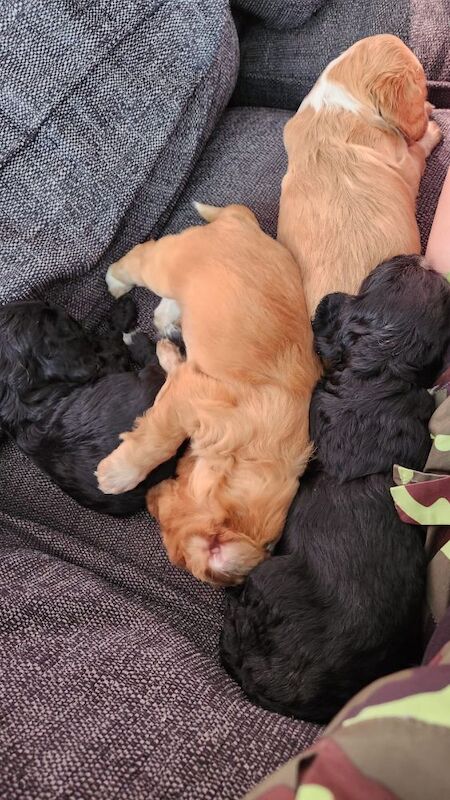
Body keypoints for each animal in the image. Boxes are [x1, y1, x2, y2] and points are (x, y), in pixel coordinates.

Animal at [0, 296, 179, 516]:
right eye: (55, 322)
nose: (63, 311)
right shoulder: (106, 361)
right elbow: (110, 340)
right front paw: (123, 310)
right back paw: (140, 341)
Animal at [96, 203, 320, 584]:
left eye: (160, 519)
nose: (149, 498)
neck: (251, 451)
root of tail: (239, 223)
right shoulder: (192, 399)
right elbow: (158, 440)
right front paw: (118, 474)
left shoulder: (188, 385)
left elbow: (175, 369)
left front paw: (166, 351)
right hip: (166, 264)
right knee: (139, 257)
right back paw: (116, 281)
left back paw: (167, 321)